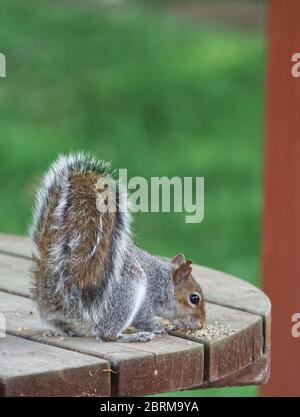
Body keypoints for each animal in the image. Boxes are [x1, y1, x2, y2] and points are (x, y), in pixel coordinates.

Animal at [30, 153, 206, 342]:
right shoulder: (148, 298)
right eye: (194, 298)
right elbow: (143, 319)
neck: (165, 282)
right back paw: (135, 336)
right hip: (126, 291)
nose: (202, 324)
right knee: (108, 334)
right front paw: (156, 327)